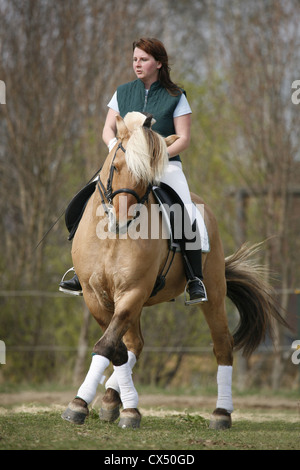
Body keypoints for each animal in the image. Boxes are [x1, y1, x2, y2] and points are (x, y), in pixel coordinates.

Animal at [61, 110, 288, 430]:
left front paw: (85, 405)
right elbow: (115, 347)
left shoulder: (133, 291)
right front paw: (105, 404)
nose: (121, 221)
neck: (111, 238)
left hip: (213, 293)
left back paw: (221, 413)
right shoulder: (96, 296)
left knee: (222, 344)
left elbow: (108, 345)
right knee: (134, 343)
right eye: (116, 167)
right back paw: (114, 401)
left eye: (146, 178)